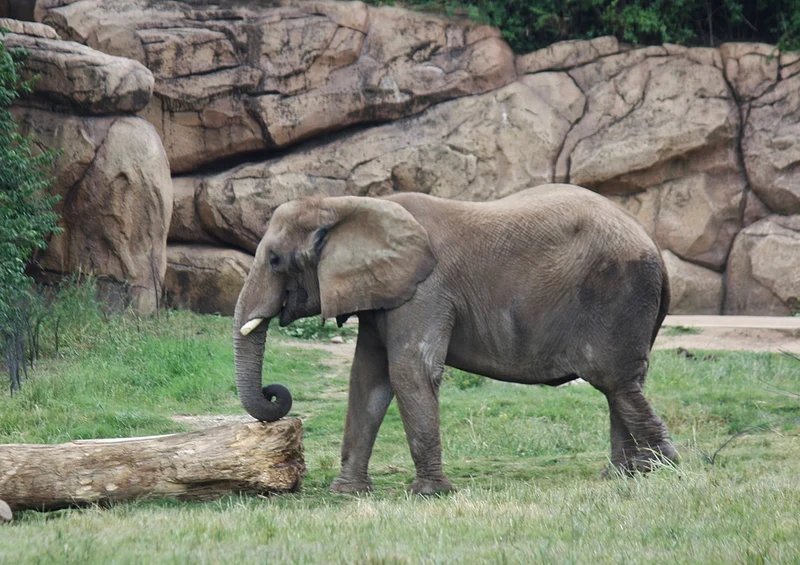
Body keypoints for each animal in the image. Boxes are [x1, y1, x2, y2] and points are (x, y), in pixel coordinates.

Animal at [234, 183, 678, 494]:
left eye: (275, 259)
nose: (275, 393)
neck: (348, 204)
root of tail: (652, 242)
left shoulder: (426, 289)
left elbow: (411, 370)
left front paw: (428, 493)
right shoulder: (384, 296)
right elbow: (368, 379)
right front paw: (347, 492)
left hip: (617, 289)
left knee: (614, 380)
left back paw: (665, 469)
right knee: (622, 383)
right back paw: (622, 475)